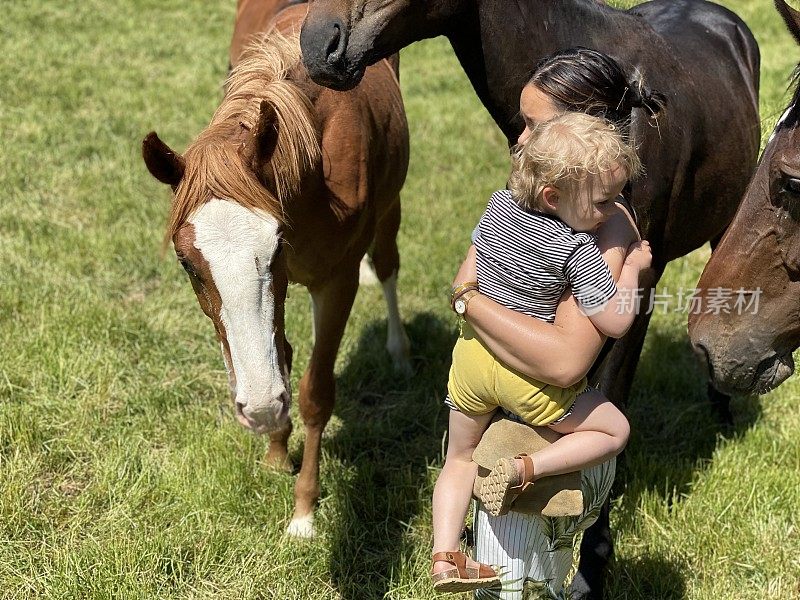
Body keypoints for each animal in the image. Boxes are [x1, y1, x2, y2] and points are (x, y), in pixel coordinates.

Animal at [141, 4, 410, 540]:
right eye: (188, 264)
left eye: (276, 244)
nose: (259, 407)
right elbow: (281, 355)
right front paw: (275, 453)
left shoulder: (336, 282)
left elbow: (316, 392)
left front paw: (304, 511)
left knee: (387, 263)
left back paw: (398, 349)